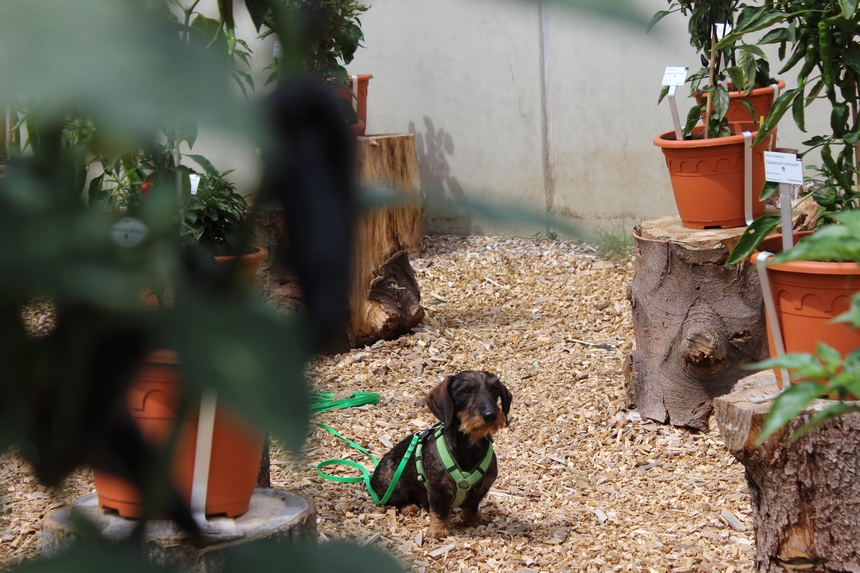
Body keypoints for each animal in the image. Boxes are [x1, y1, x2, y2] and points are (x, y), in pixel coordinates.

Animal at [370, 368, 510, 540]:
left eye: (494, 389)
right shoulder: (436, 487)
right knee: (396, 500)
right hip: (393, 484)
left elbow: (472, 505)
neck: (470, 447)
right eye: (466, 391)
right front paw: (438, 530)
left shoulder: (483, 485)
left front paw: (474, 519)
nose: (490, 415)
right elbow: (439, 510)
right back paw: (408, 506)